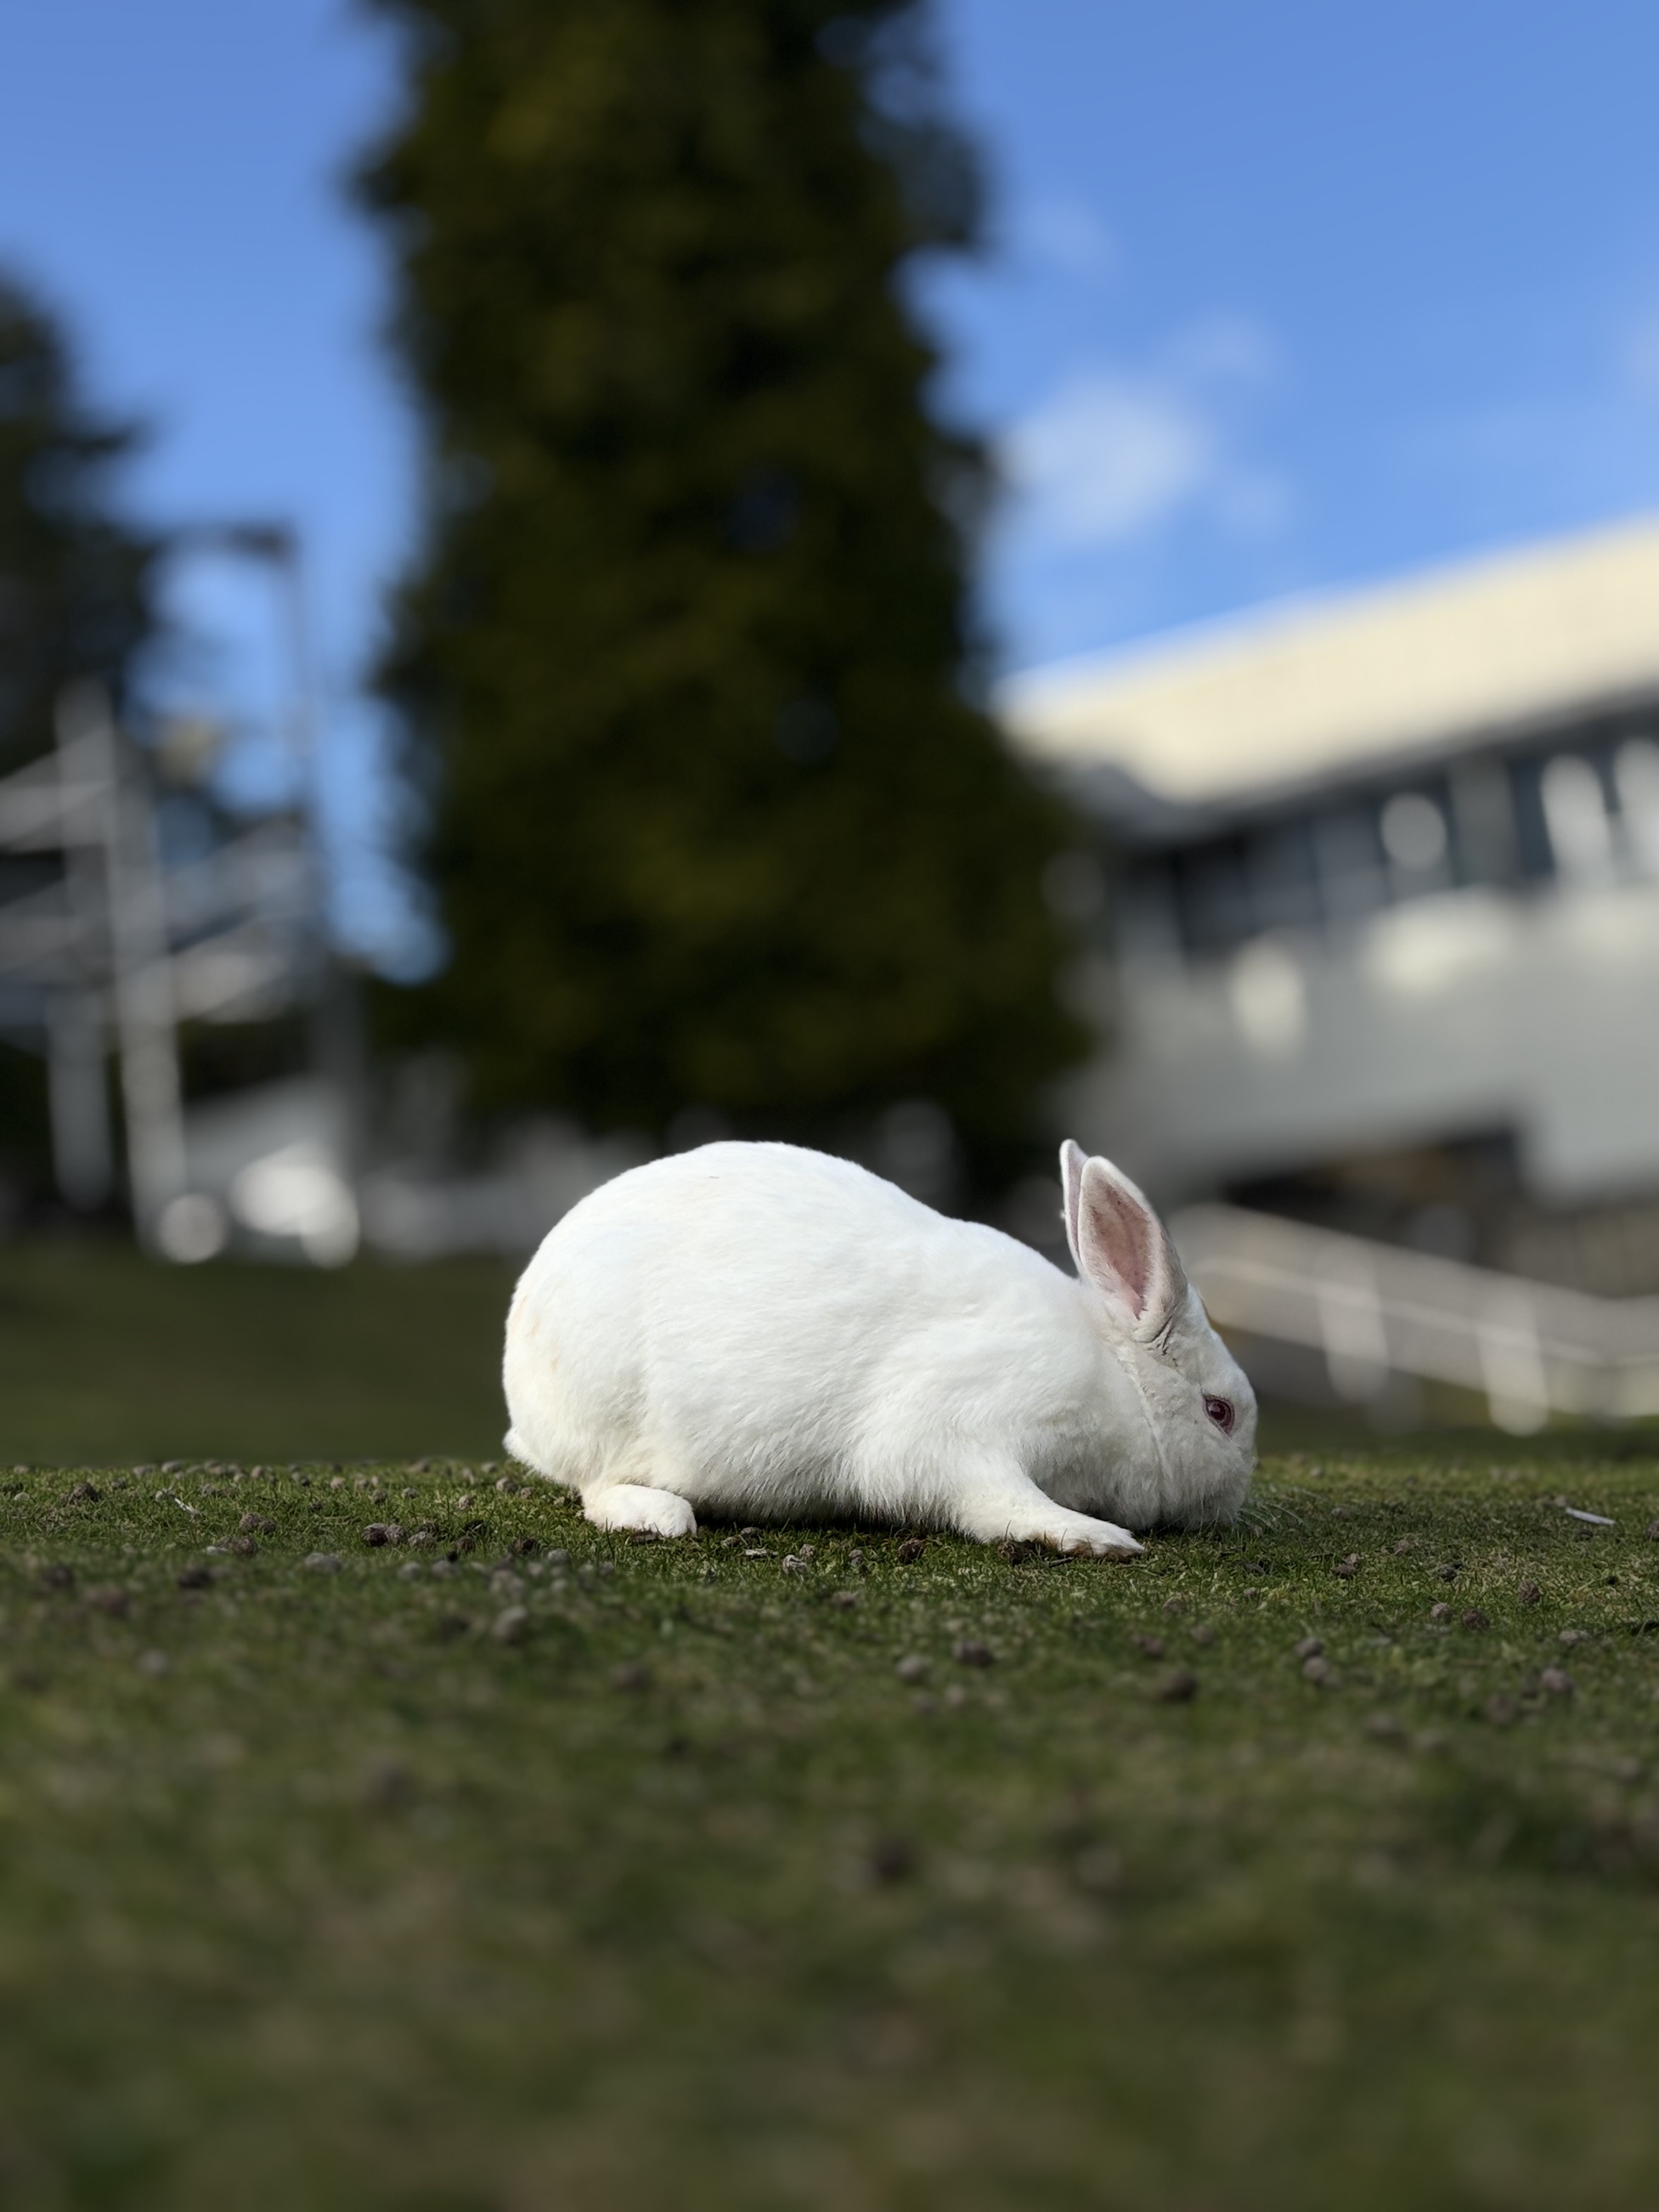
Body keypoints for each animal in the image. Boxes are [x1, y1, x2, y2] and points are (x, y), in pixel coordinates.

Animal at [502, 1138, 1256, 1554]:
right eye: (1219, 1413)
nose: (1235, 1498)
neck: (1117, 1381)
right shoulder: (961, 1427)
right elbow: (993, 1500)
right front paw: (1097, 1538)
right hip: (607, 1413)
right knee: (597, 1487)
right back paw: (661, 1516)